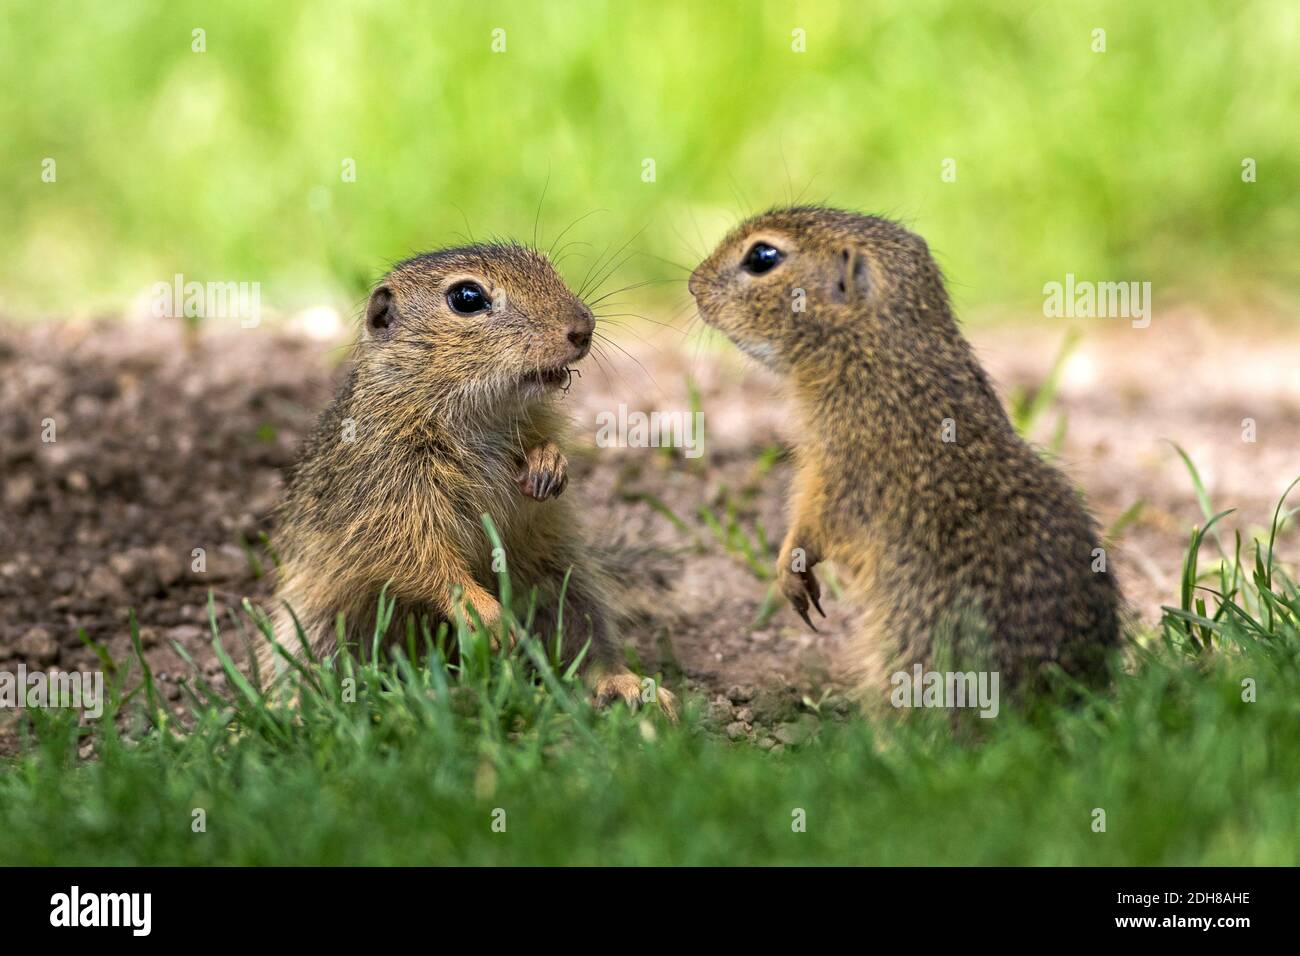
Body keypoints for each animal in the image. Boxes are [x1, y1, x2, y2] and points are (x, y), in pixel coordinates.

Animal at [260, 240, 676, 717]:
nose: (582, 328)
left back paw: (628, 686)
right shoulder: (388, 498)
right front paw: (487, 616)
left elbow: (544, 448)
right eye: (467, 298)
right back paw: (298, 708)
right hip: (318, 623)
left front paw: (548, 465)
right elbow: (423, 559)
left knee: (591, 648)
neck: (476, 412)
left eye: (547, 268)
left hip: (567, 584)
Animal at [686, 208, 1123, 702]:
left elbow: (812, 525)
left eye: (762, 256)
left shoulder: (835, 475)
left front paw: (788, 570)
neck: (883, 358)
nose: (693, 284)